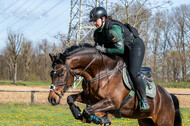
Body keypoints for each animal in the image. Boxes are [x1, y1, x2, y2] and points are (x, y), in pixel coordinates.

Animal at [47, 44, 181, 126]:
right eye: (51, 74)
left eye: (61, 74)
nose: (51, 99)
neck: (101, 73)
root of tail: (169, 96)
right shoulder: (90, 98)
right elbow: (71, 98)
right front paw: (77, 113)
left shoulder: (112, 102)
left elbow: (87, 110)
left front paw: (99, 119)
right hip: (145, 121)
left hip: (164, 122)